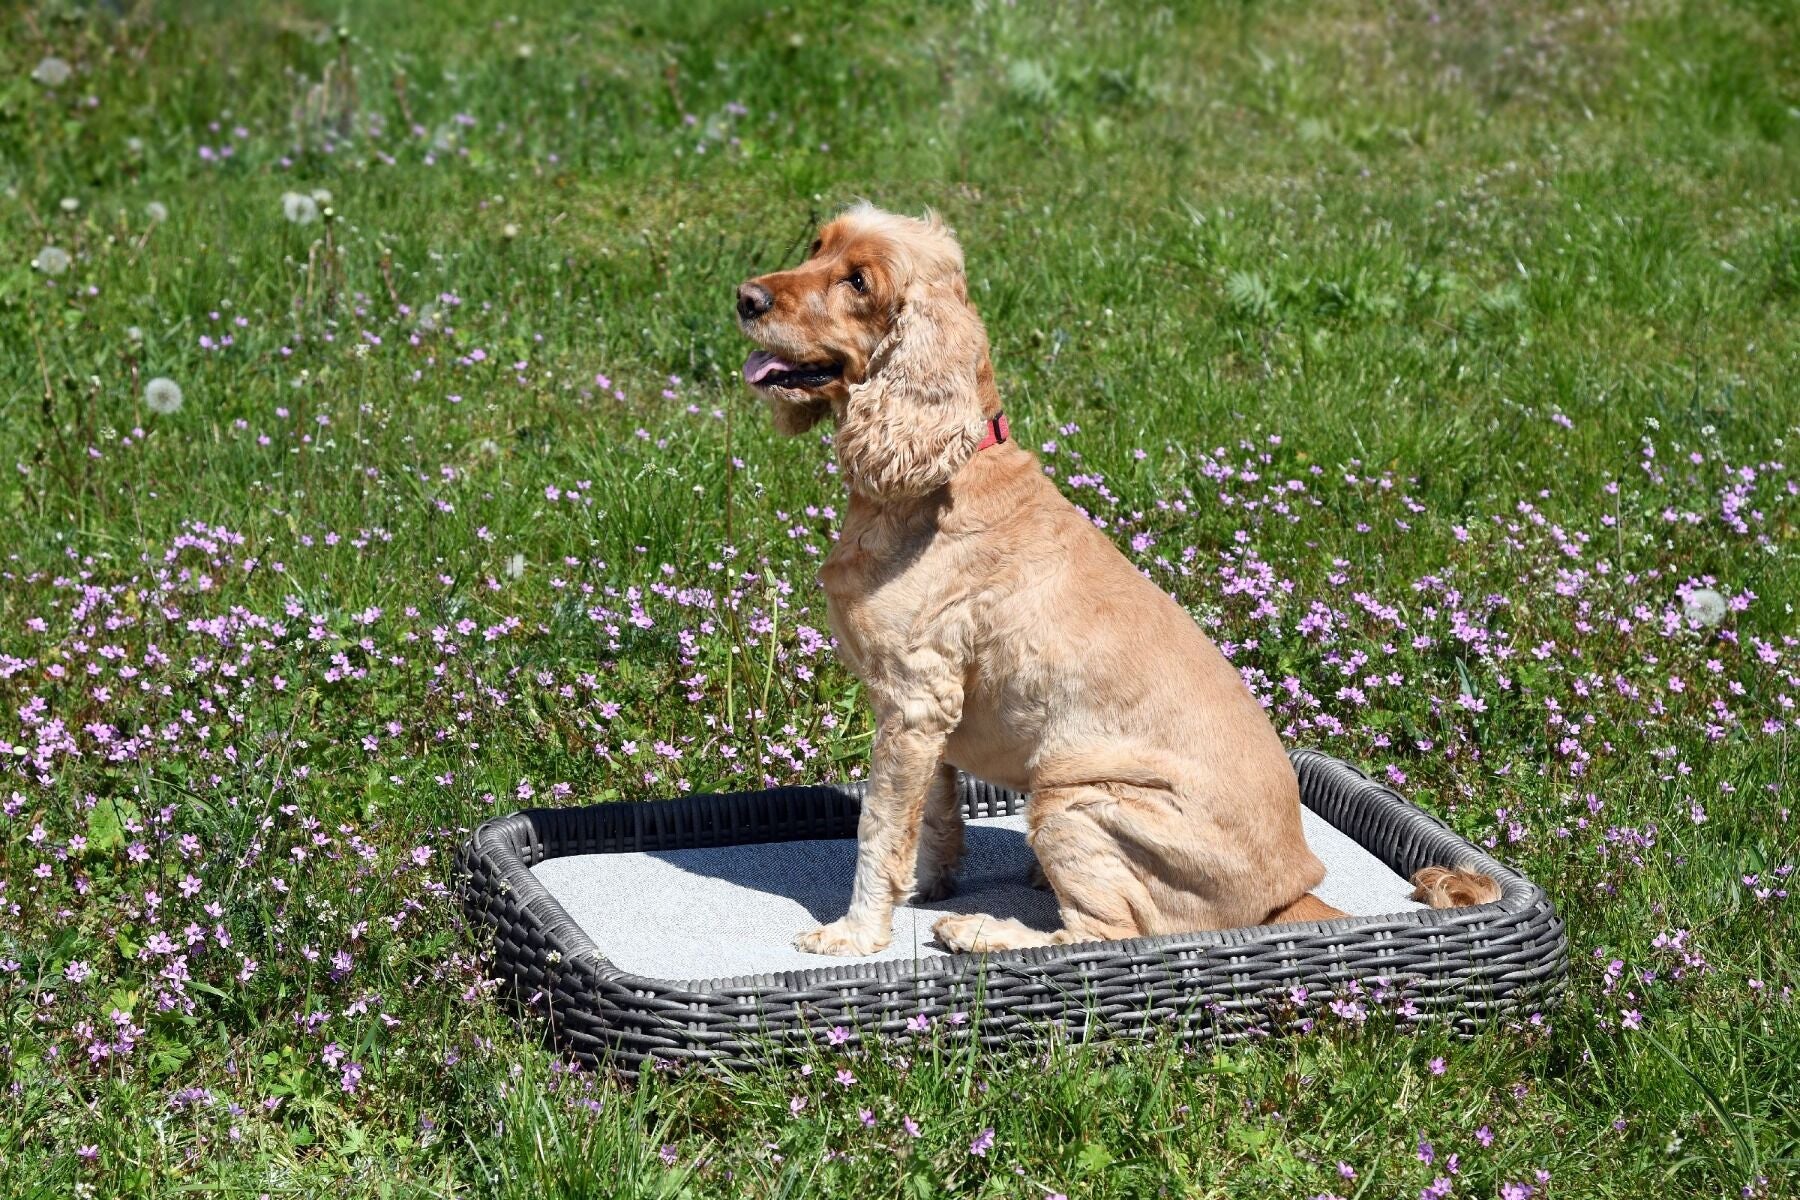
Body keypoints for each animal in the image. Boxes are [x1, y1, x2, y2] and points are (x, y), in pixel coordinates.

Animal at [734, 206, 1504, 957]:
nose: (745, 297)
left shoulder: (913, 701)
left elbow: (879, 831)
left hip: (1073, 796)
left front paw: (857, 933)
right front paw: (922, 889)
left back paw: (985, 931)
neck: (940, 477)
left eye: (860, 282)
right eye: (818, 244)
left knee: (1104, 933)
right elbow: (933, 816)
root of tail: (1292, 893)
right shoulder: (930, 722)